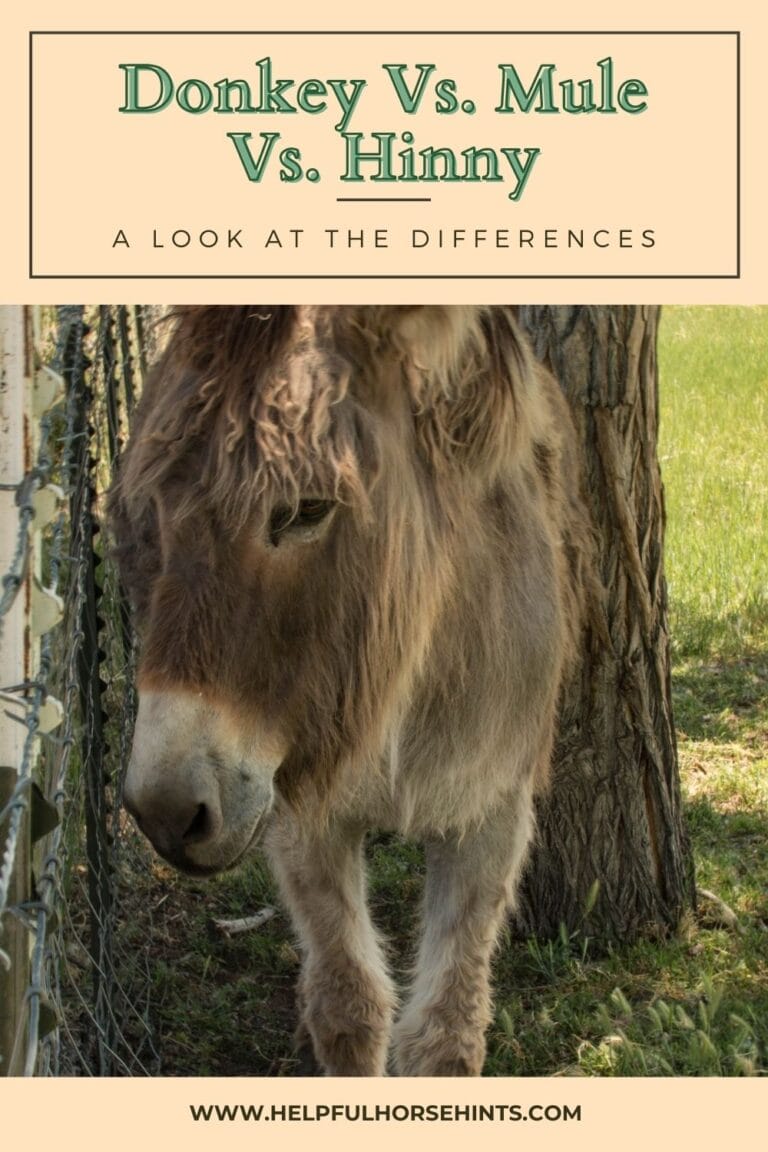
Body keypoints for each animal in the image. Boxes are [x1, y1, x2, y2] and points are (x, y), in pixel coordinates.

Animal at [110, 305, 592, 1076]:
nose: (165, 813)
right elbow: (349, 1004)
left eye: (308, 510)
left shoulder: (491, 807)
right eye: (150, 503)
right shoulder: (298, 802)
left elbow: (445, 1036)